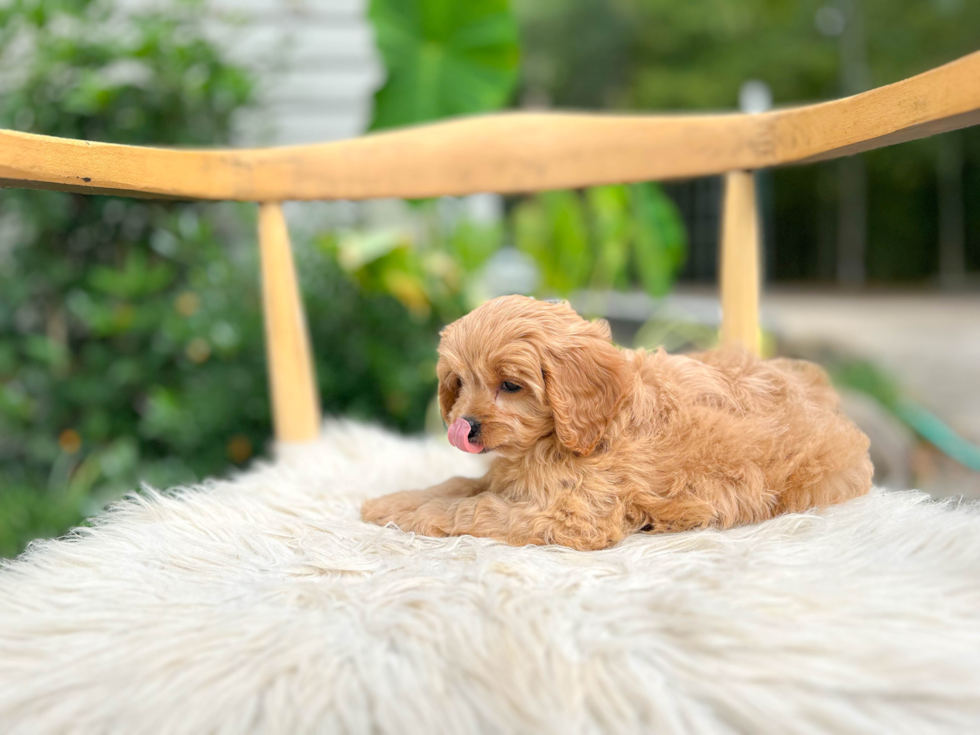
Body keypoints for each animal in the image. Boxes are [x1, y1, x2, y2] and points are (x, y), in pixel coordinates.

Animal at [362, 296, 872, 548]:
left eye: (510, 385)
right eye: (460, 382)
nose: (464, 427)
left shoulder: (573, 513)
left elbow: (473, 507)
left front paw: (416, 515)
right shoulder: (510, 477)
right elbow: (458, 485)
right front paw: (394, 502)